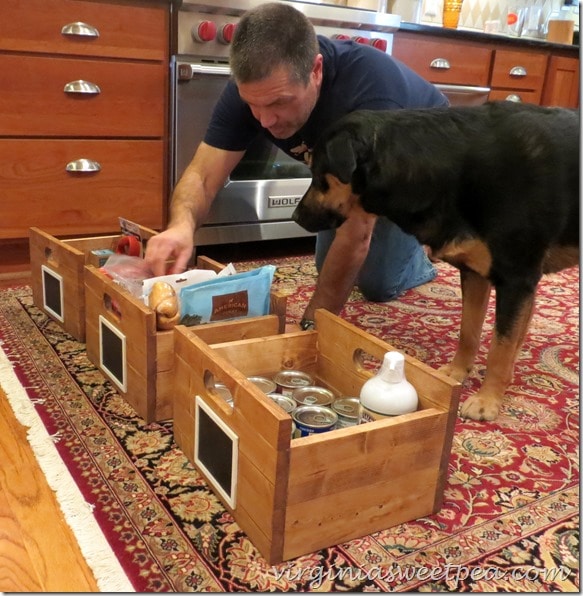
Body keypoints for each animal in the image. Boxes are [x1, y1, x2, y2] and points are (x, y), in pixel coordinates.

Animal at [294, 101, 576, 420]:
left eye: (318, 174)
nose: (295, 216)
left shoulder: (516, 279)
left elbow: (500, 347)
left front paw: (488, 399)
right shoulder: (475, 273)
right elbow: (470, 330)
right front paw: (456, 372)